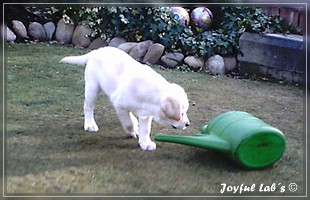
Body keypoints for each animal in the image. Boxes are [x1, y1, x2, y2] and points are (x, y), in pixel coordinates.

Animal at [59, 46, 190, 150]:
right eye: (181, 113)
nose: (188, 124)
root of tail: (96, 51)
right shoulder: (119, 104)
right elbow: (127, 122)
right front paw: (132, 131)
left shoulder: (146, 114)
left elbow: (145, 129)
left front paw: (145, 143)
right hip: (92, 87)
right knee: (88, 107)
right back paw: (90, 124)